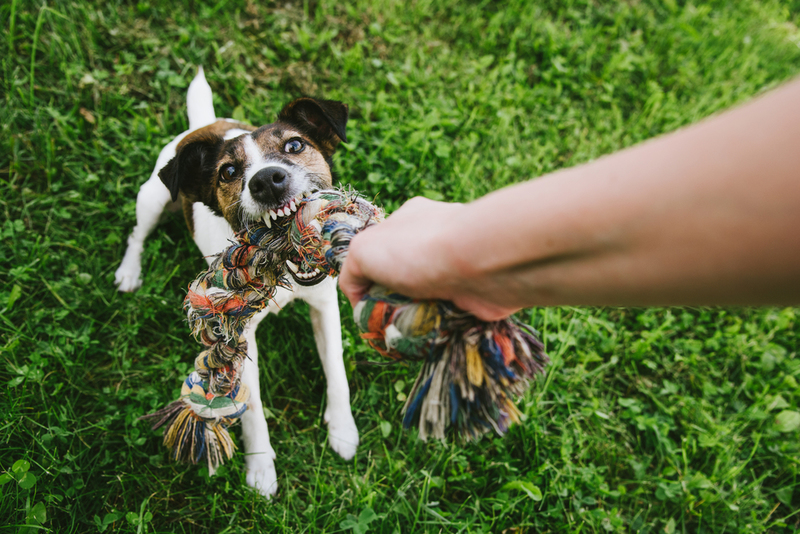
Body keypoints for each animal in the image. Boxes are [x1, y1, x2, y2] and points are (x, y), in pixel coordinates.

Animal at [113, 67, 360, 498]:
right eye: (228, 172)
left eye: (295, 144)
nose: (268, 180)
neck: (282, 274)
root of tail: (205, 125)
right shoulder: (239, 333)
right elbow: (253, 407)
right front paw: (260, 469)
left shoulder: (324, 305)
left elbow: (336, 369)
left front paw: (343, 430)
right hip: (152, 198)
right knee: (137, 234)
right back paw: (130, 271)